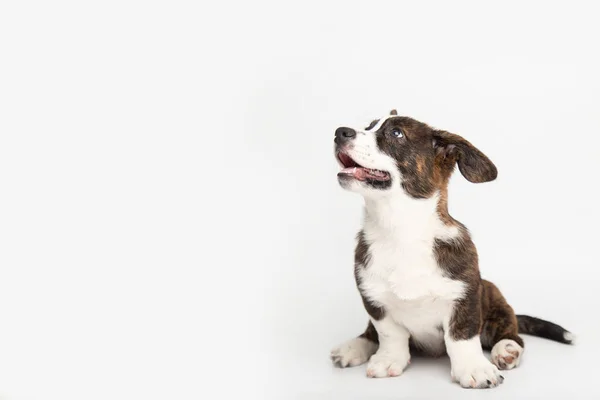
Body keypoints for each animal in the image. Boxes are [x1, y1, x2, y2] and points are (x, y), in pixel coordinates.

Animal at [330, 109, 576, 388]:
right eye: (368, 126)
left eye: (396, 133)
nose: (340, 132)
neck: (400, 230)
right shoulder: (374, 301)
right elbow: (390, 334)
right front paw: (389, 359)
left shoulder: (464, 298)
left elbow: (462, 337)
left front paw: (473, 368)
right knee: (370, 333)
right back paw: (353, 347)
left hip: (493, 296)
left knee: (512, 334)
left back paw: (507, 350)